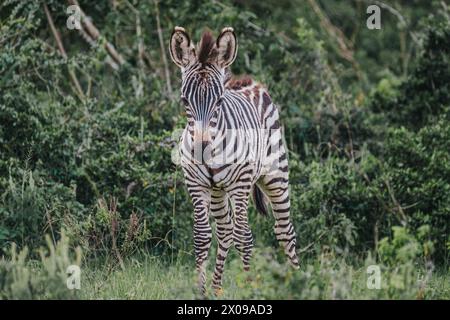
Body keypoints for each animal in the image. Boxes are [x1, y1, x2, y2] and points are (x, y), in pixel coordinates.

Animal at [169, 26, 298, 296]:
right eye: (185, 101)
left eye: (219, 101)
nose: (201, 148)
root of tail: (250, 83)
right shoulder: (196, 185)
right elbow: (202, 236)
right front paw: (201, 291)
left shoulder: (240, 185)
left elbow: (244, 237)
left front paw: (250, 288)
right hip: (218, 190)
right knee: (226, 231)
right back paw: (217, 287)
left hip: (275, 176)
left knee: (283, 231)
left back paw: (297, 280)